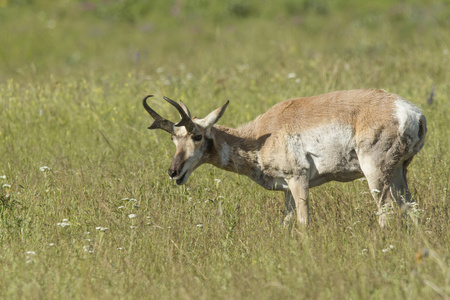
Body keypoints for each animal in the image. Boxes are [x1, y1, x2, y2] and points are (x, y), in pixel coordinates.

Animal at [142, 89, 428, 227]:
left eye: (197, 136)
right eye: (174, 139)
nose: (173, 172)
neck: (261, 135)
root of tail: (409, 111)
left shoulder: (298, 179)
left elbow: (303, 222)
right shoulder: (286, 190)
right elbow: (286, 223)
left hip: (375, 173)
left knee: (386, 209)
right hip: (399, 171)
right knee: (410, 207)